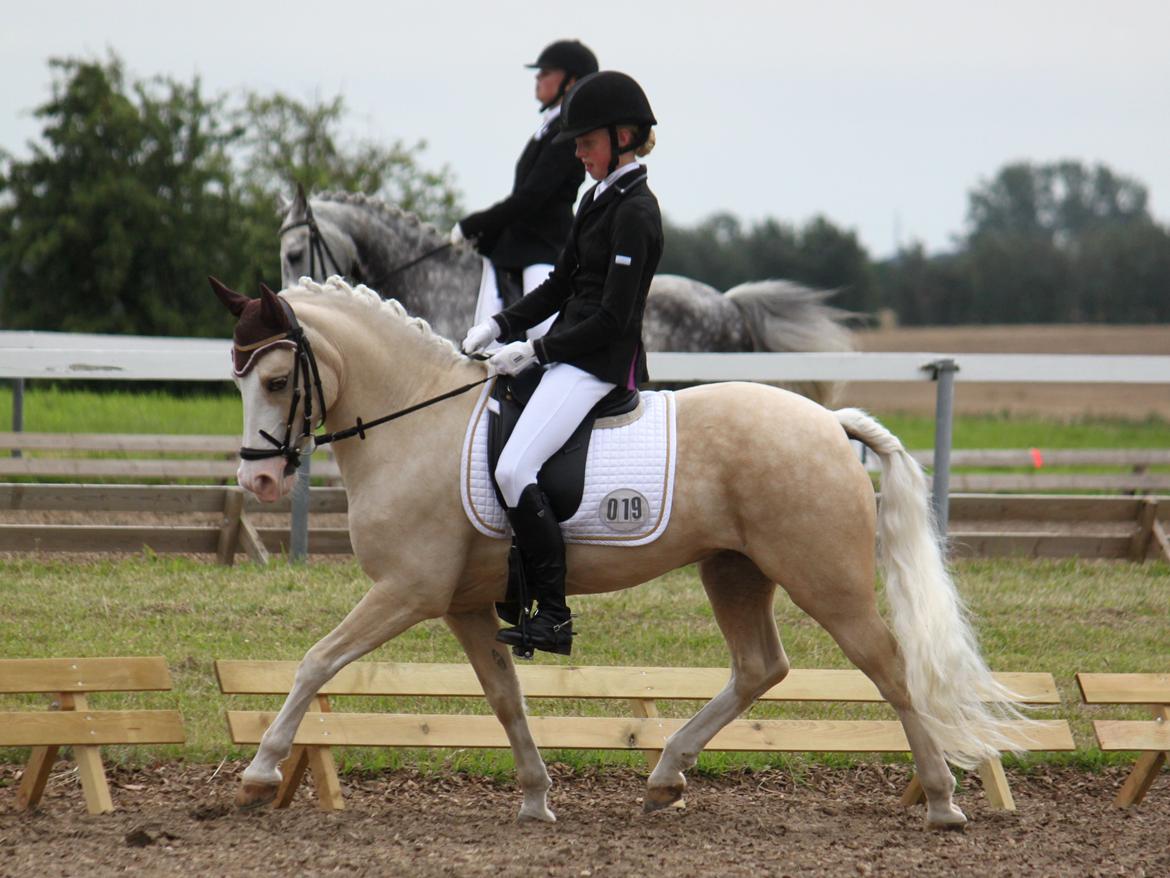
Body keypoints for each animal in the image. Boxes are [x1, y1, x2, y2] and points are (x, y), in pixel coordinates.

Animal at [215, 278, 1020, 828]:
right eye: (237, 378)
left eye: (278, 380)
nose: (258, 481)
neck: (415, 425)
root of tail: (830, 422)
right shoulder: (463, 606)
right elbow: (505, 698)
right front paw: (536, 798)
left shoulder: (407, 591)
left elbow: (317, 660)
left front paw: (259, 773)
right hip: (735, 572)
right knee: (760, 667)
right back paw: (665, 776)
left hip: (826, 582)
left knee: (889, 667)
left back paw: (942, 801)